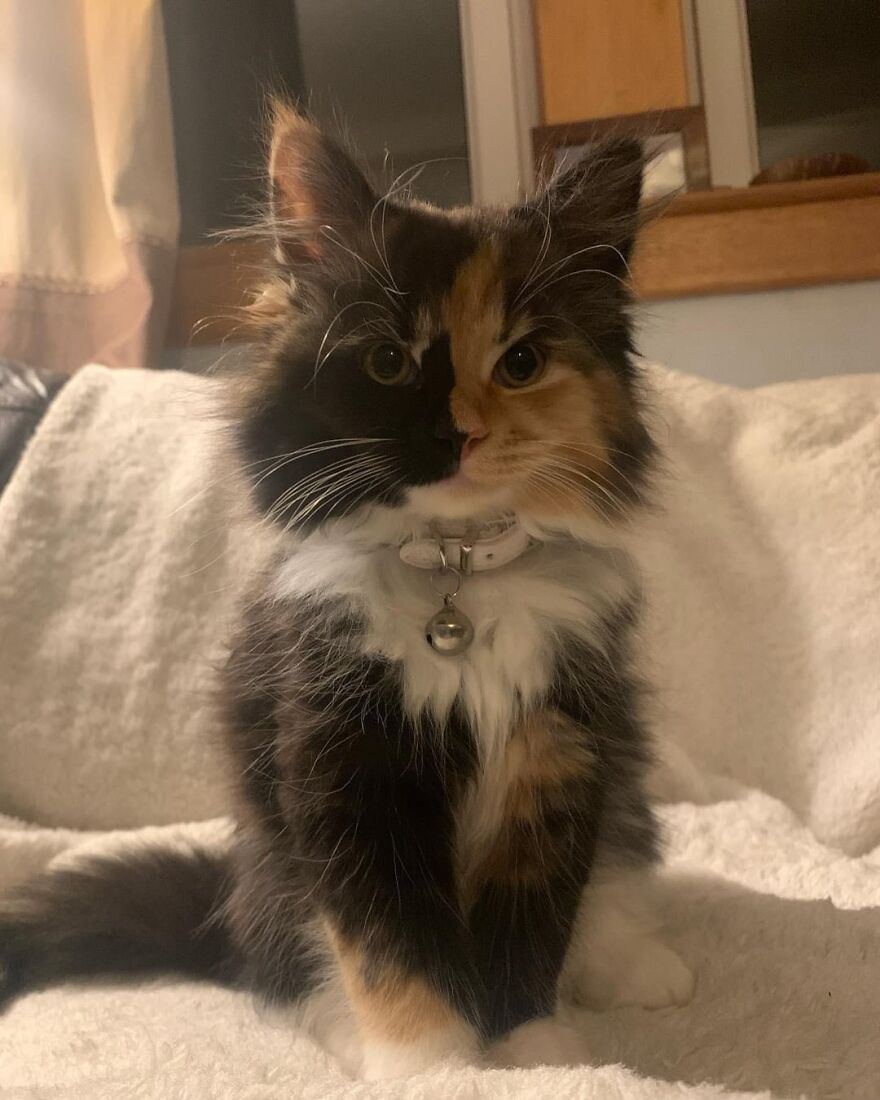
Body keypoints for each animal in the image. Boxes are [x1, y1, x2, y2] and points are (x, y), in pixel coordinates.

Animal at [0, 107, 690, 1078]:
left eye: (520, 362)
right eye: (389, 362)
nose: (459, 434)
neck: (453, 575)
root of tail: (228, 901)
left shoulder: (556, 756)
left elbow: (532, 924)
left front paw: (534, 1049)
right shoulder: (342, 765)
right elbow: (390, 945)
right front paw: (435, 1066)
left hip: (619, 781)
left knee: (615, 880)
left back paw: (639, 967)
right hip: (278, 872)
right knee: (290, 970)